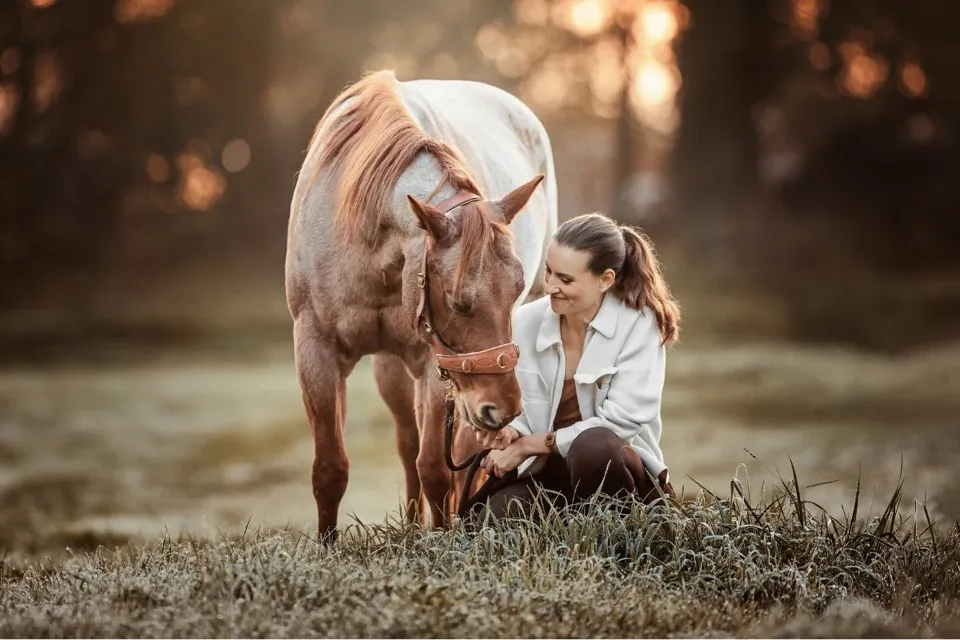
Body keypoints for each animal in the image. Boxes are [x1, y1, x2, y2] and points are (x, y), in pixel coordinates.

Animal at [285, 70, 558, 540]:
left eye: (516, 290)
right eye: (457, 300)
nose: (503, 407)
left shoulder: (437, 364)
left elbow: (435, 468)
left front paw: (445, 536)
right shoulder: (315, 349)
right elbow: (330, 469)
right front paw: (327, 546)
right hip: (397, 370)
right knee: (407, 437)